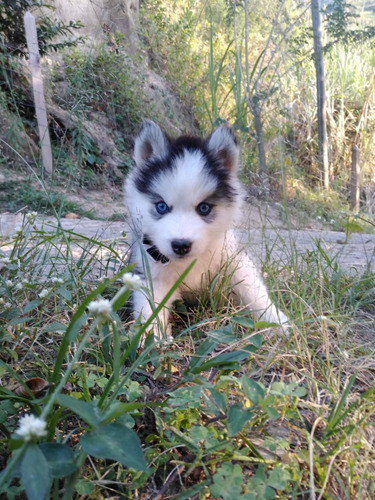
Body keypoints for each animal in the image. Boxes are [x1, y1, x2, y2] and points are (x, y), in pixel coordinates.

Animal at [125, 121, 290, 340]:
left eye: (204, 208)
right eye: (161, 206)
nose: (181, 245)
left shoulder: (234, 261)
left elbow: (254, 290)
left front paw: (275, 321)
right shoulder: (152, 273)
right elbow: (150, 306)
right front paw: (149, 336)